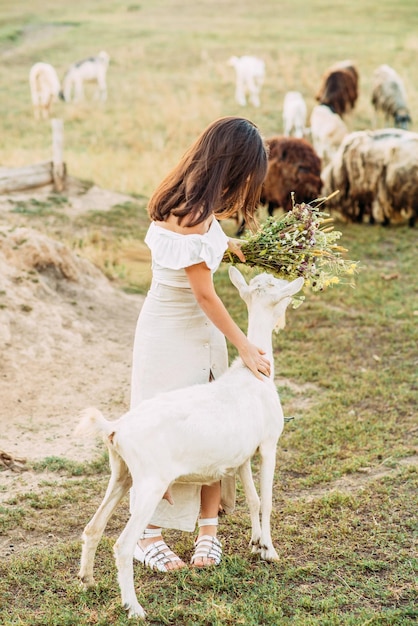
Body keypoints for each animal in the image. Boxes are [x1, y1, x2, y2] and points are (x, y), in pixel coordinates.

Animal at [76, 266, 304, 616]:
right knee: (122, 545)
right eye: (282, 291)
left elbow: (252, 500)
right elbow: (266, 500)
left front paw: (254, 545)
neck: (254, 375)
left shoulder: (242, 456)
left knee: (92, 528)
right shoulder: (269, 444)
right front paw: (269, 550)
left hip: (122, 474)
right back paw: (134, 607)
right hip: (151, 483)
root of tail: (115, 429)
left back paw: (87, 582)